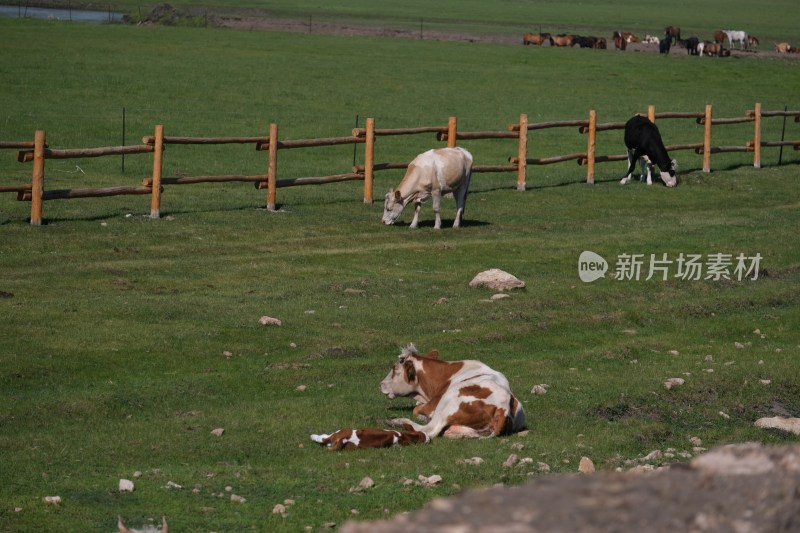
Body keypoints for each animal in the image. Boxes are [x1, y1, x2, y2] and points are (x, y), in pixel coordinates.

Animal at [380, 342, 524, 438]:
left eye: (394, 368)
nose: (381, 384)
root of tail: (504, 407)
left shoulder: (433, 405)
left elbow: (416, 410)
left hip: (448, 401)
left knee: (428, 430)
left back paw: (394, 421)